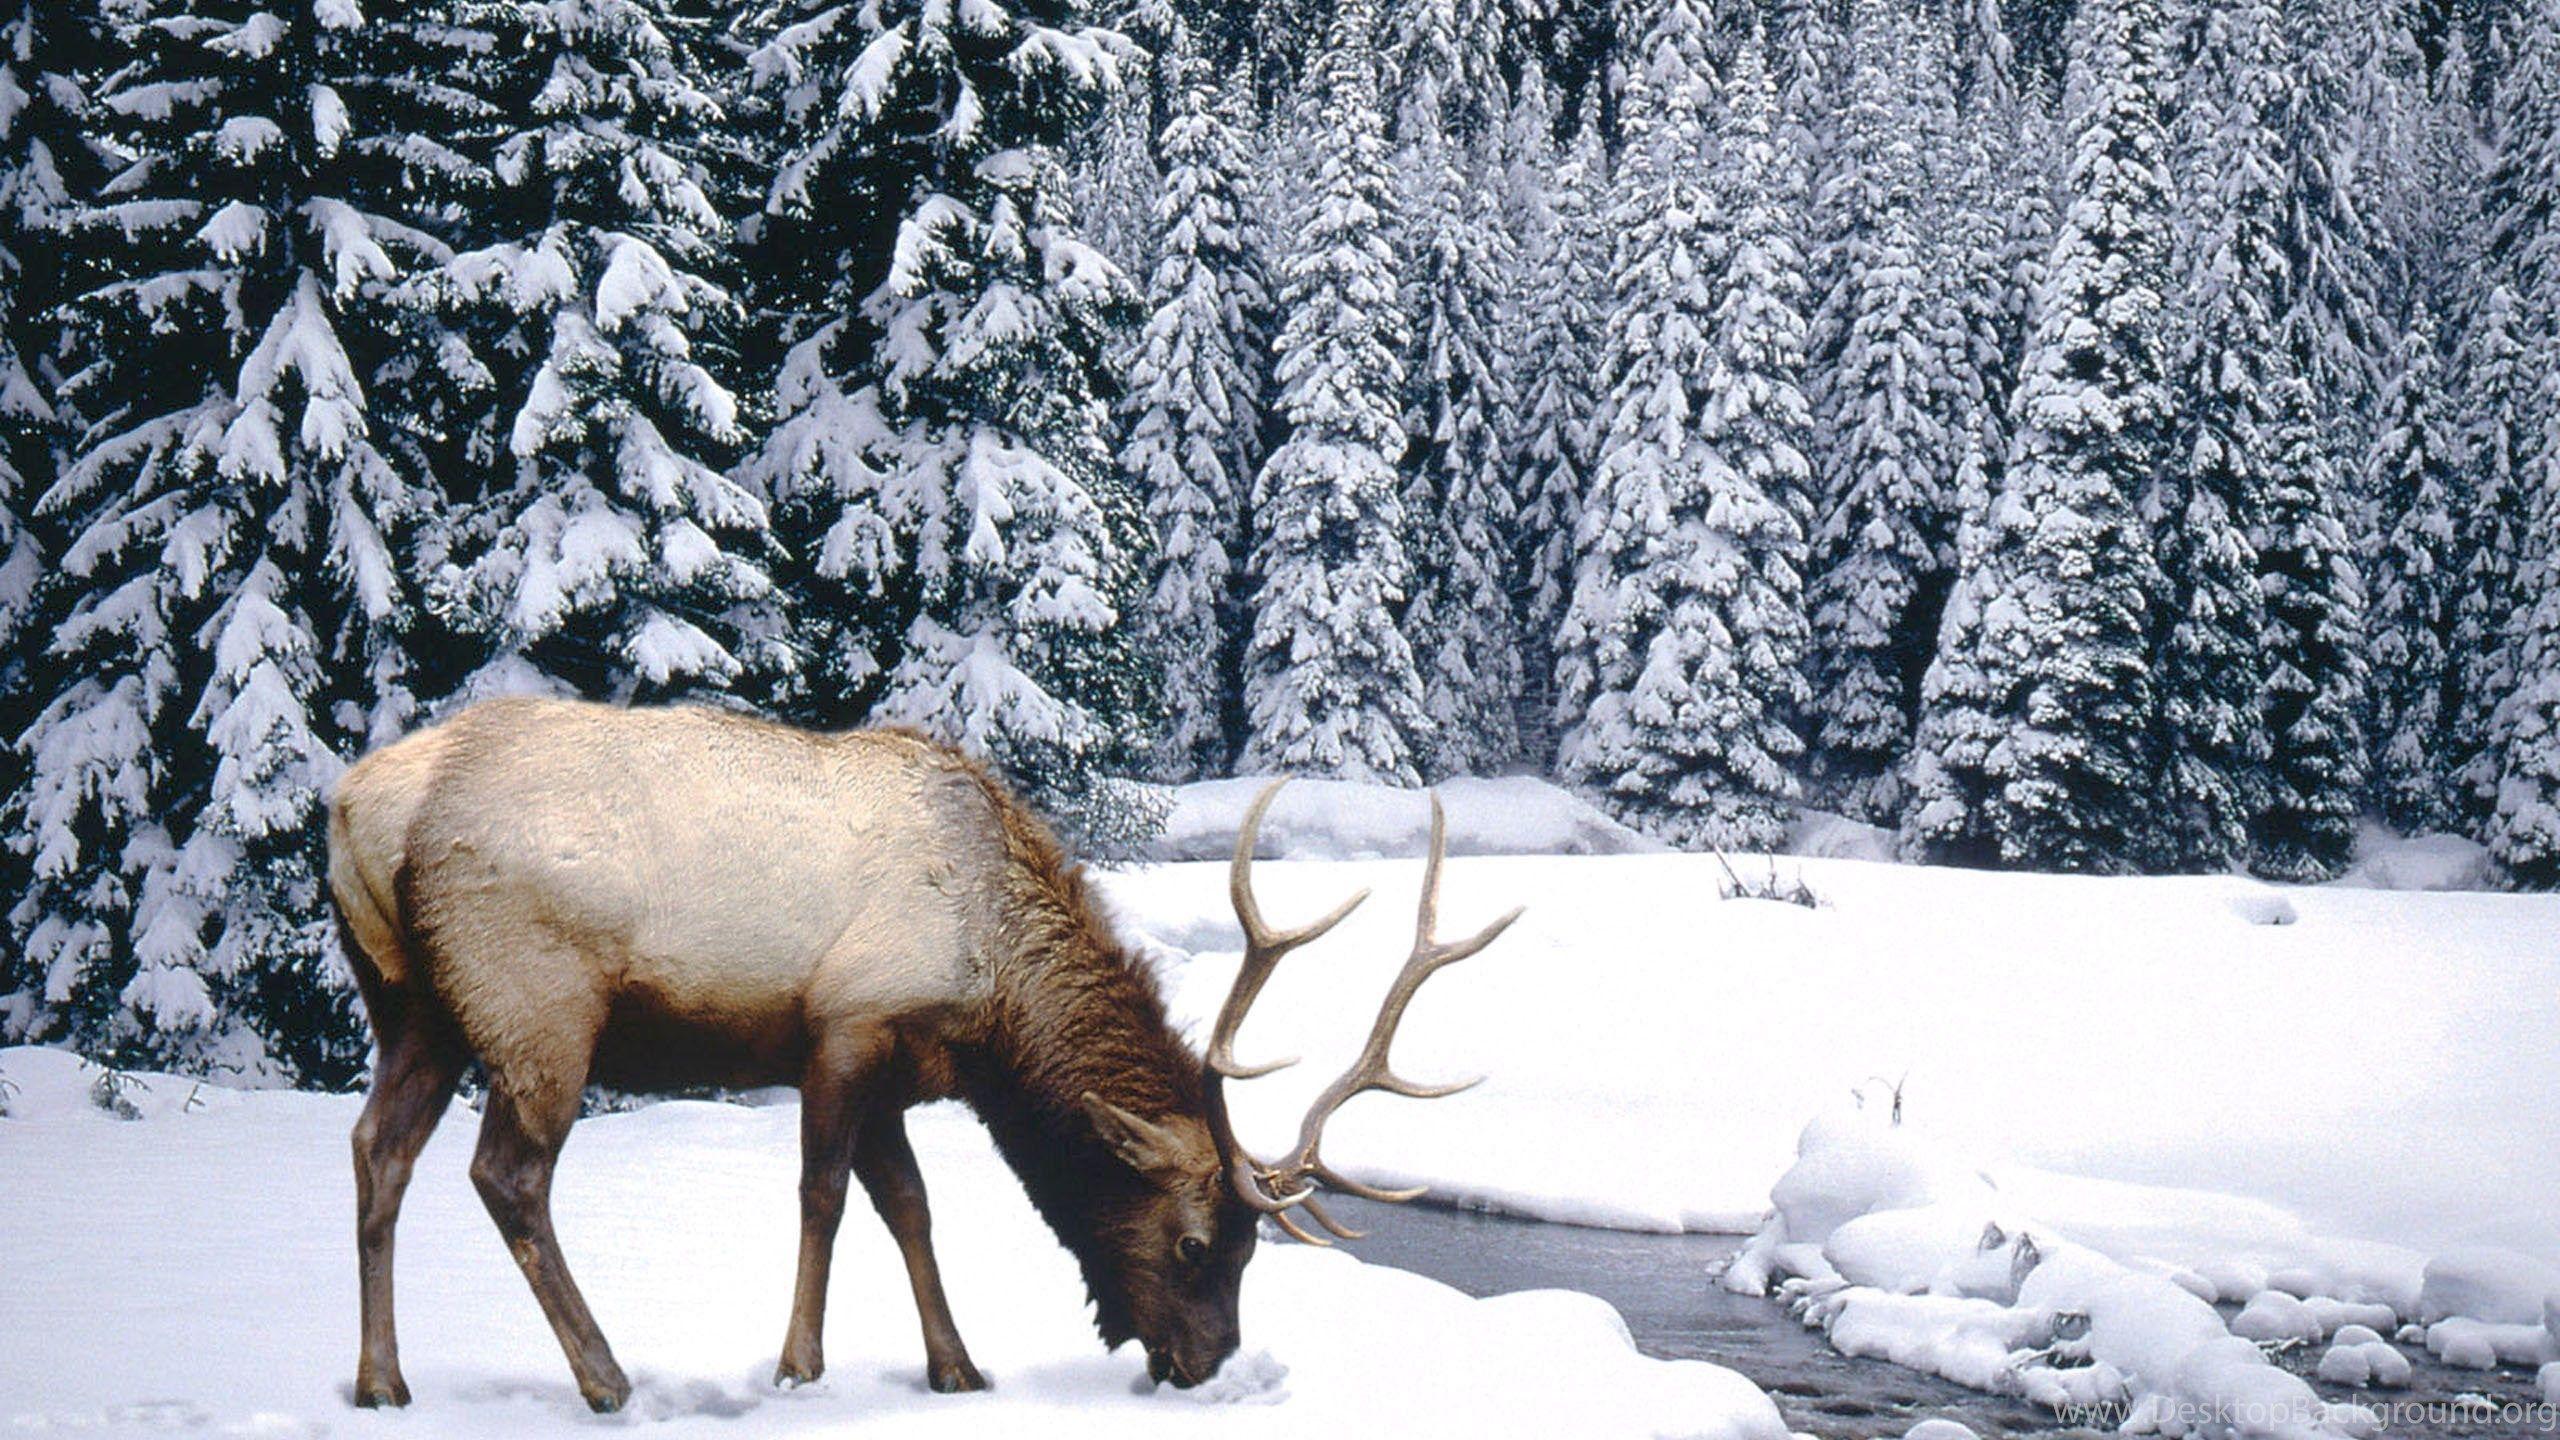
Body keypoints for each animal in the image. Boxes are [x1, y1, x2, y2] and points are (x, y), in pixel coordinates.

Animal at [326, 696, 1517, 1412]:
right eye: (1195, 1245)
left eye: (1253, 1249)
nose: (1207, 1364)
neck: (994, 997)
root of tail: (355, 810)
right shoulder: (845, 1024)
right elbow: (823, 1196)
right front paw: (798, 1368)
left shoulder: (900, 1073)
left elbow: (910, 1205)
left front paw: (958, 1367)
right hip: (537, 1005)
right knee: (506, 1175)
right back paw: (606, 1376)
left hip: (412, 1008)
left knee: (377, 1150)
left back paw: (382, 1379)